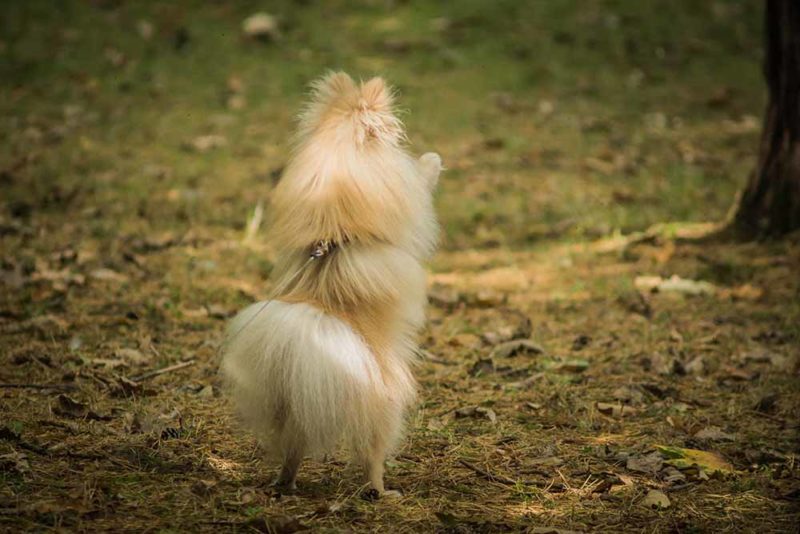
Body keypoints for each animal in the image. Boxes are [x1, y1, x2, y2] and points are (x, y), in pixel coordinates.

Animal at [222, 72, 440, 498]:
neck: (334, 231)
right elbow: (422, 178)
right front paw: (432, 160)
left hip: (294, 408)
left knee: (292, 449)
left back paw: (285, 483)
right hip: (387, 410)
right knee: (372, 456)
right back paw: (382, 491)